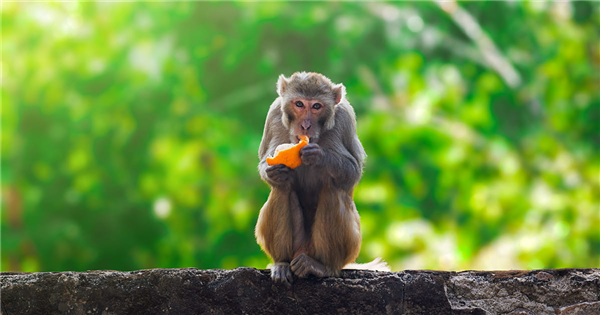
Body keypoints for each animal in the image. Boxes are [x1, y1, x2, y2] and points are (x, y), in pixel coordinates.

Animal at [255, 72, 386, 286]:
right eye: (299, 104)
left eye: (317, 106)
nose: (305, 125)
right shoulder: (273, 113)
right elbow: (266, 159)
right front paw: (272, 170)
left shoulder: (345, 117)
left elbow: (353, 171)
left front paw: (319, 156)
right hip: (297, 245)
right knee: (282, 188)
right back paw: (281, 263)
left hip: (348, 247)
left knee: (331, 187)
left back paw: (322, 267)